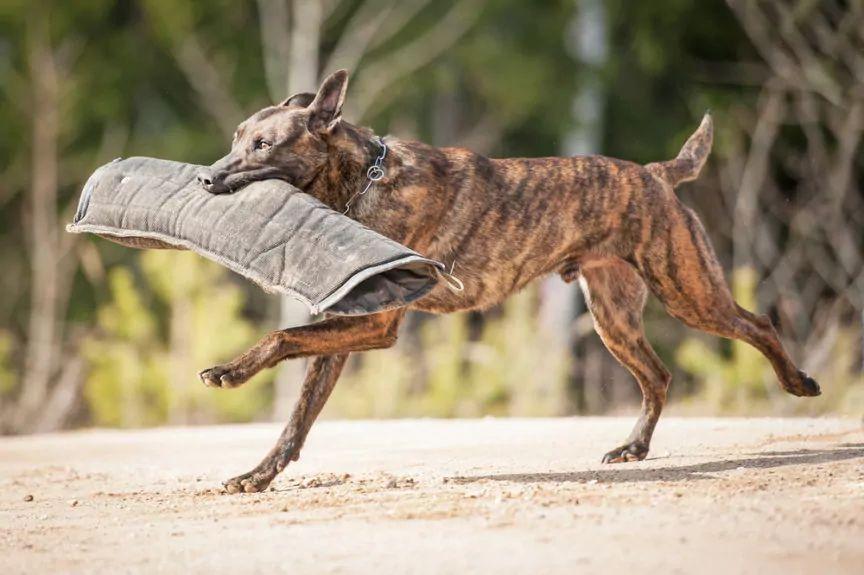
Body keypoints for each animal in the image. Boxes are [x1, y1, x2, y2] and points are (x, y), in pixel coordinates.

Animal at [197, 70, 824, 492]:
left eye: (264, 145)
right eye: (235, 137)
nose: (205, 178)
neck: (361, 180)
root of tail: (654, 174)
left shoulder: (375, 327)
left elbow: (282, 338)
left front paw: (229, 370)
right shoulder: (345, 332)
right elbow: (298, 418)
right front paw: (257, 475)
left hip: (688, 292)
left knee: (757, 323)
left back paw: (798, 383)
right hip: (613, 318)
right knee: (659, 376)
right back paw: (634, 447)